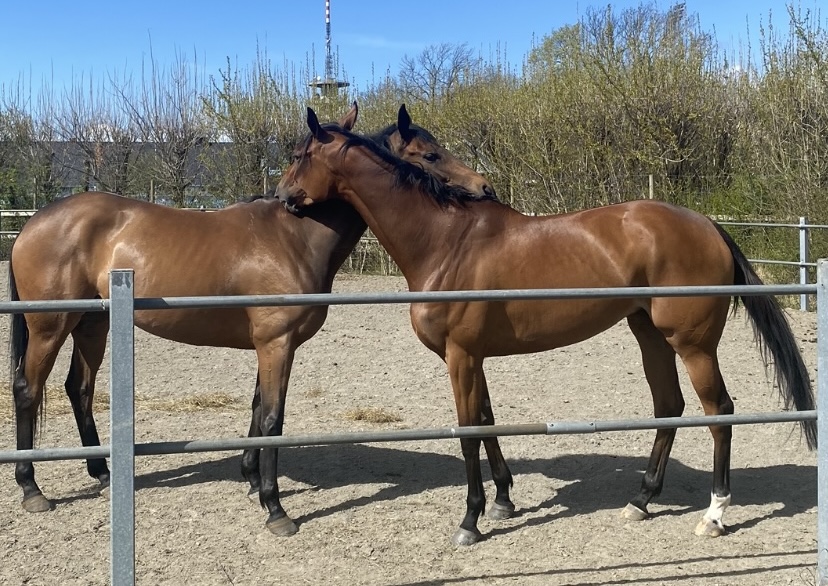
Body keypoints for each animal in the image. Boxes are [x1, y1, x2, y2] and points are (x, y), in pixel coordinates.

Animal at [6, 101, 494, 532]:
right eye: (429, 155)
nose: (485, 188)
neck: (292, 236)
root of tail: (34, 222)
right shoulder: (276, 342)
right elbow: (274, 418)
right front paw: (275, 508)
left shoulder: (272, 343)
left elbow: (259, 408)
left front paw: (252, 479)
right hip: (51, 327)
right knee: (28, 388)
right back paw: (31, 488)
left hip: (93, 323)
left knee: (79, 389)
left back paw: (102, 472)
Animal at [276, 107, 816, 544]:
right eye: (430, 152)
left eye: (300, 154)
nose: (282, 196)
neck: (447, 241)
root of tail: (706, 224)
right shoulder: (473, 357)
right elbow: (487, 420)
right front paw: (502, 501)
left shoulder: (460, 356)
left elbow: (468, 431)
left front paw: (470, 522)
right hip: (650, 336)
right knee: (669, 407)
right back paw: (640, 501)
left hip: (694, 345)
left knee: (719, 412)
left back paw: (714, 516)